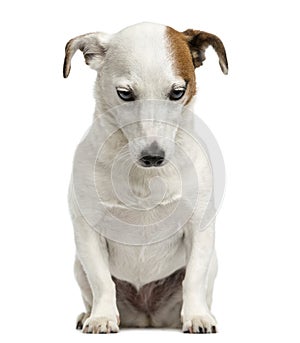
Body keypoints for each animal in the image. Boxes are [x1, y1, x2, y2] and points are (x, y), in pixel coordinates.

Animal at [63, 21, 227, 334]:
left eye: (177, 92)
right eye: (125, 93)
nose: (153, 157)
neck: (144, 180)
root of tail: (146, 318)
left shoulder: (199, 230)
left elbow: (194, 279)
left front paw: (197, 317)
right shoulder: (88, 233)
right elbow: (102, 281)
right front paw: (101, 318)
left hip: (212, 265)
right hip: (77, 266)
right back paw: (87, 315)